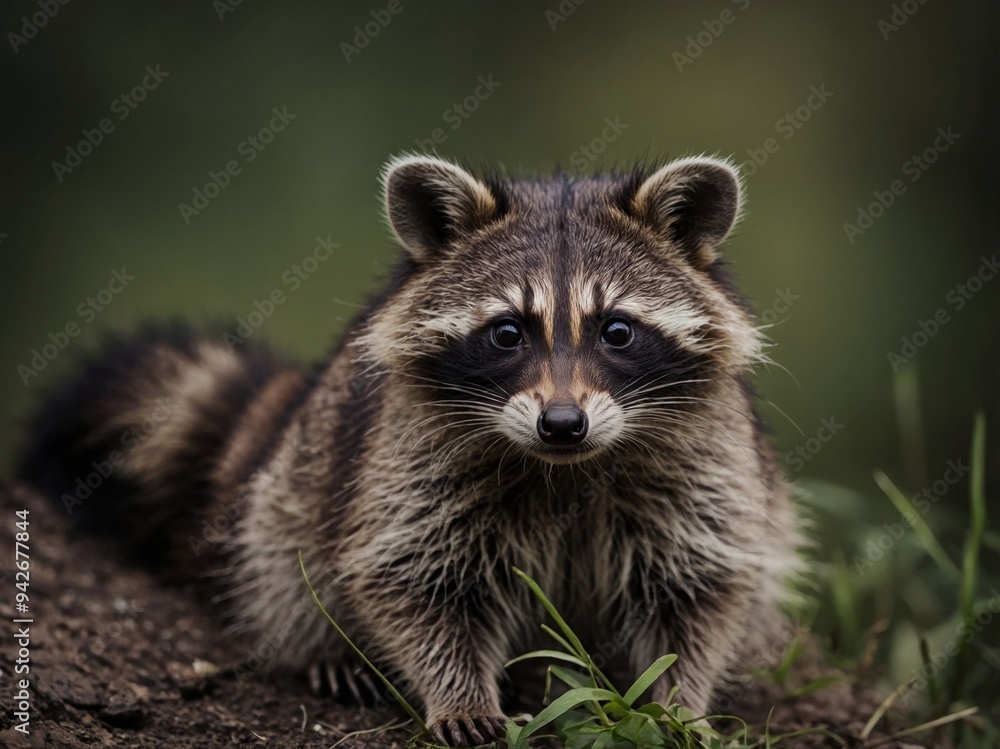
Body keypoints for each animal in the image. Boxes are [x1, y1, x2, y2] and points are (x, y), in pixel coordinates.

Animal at [18, 154, 800, 747]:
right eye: (508, 332)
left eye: (617, 330)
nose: (562, 423)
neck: (563, 467)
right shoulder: (409, 460)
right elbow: (417, 581)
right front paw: (459, 692)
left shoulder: (705, 467)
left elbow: (697, 590)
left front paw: (678, 697)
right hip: (301, 472)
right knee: (286, 558)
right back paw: (326, 649)